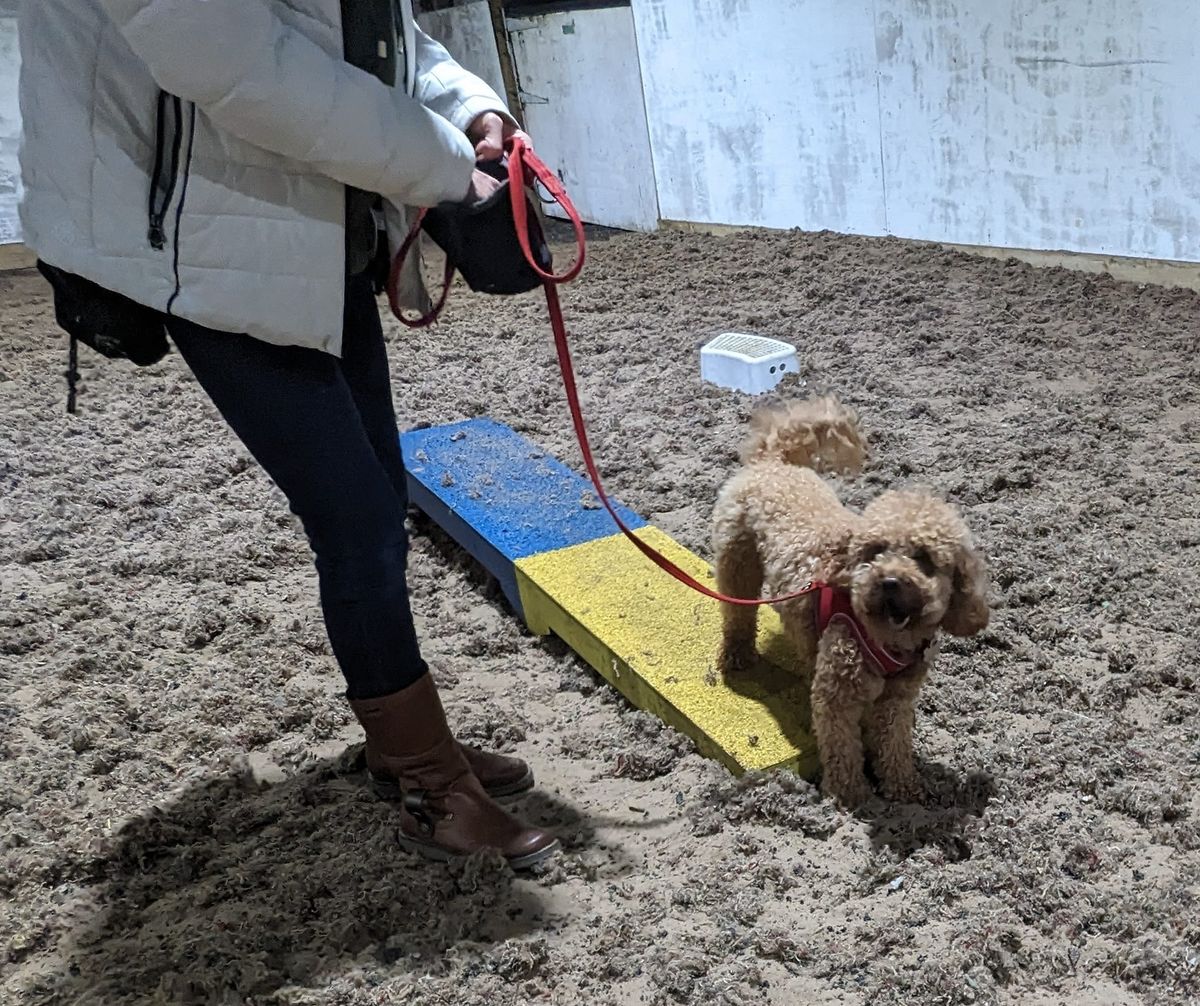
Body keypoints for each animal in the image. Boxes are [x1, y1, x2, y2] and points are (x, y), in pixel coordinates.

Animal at [710, 396, 984, 811]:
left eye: (924, 558)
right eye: (875, 551)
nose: (889, 582)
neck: (887, 640)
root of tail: (772, 462)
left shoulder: (896, 701)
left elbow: (894, 745)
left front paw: (904, 787)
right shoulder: (836, 698)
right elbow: (842, 749)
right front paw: (850, 795)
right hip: (737, 564)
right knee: (738, 615)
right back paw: (737, 654)